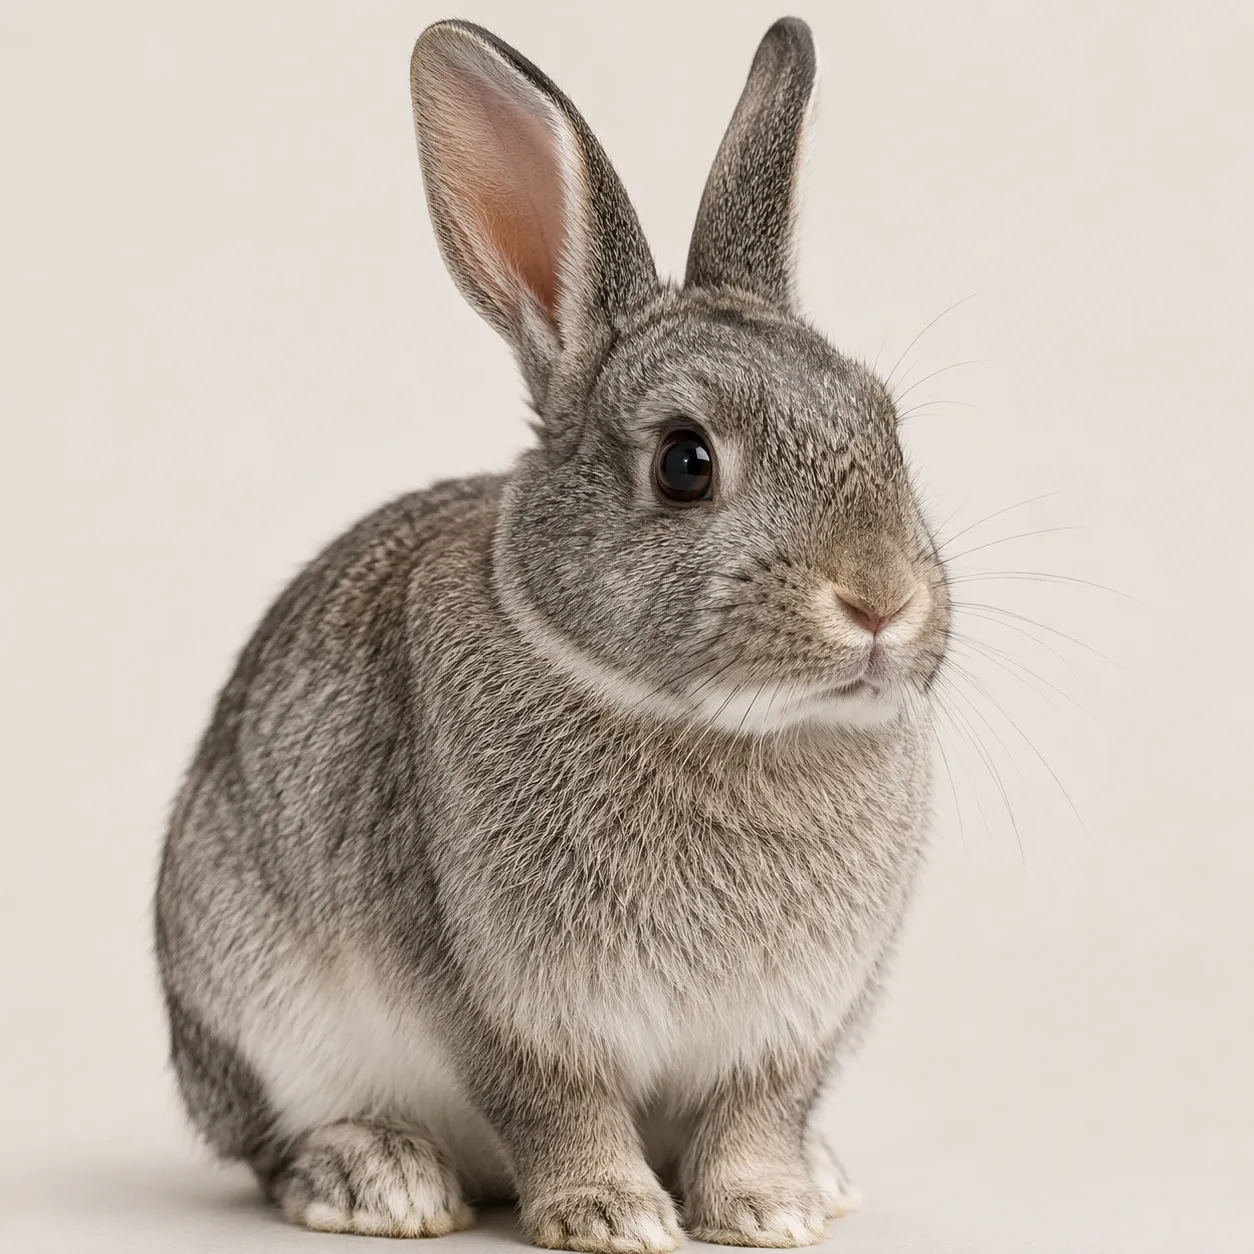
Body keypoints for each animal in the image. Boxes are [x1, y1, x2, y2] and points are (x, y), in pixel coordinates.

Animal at [154, 14, 951, 1252]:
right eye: (685, 462)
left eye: (888, 426)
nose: (881, 601)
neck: (718, 726)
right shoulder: (505, 1005)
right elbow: (559, 1110)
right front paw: (612, 1216)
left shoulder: (791, 1030)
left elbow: (757, 1113)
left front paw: (771, 1206)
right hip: (246, 991)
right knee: (275, 1144)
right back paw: (378, 1178)